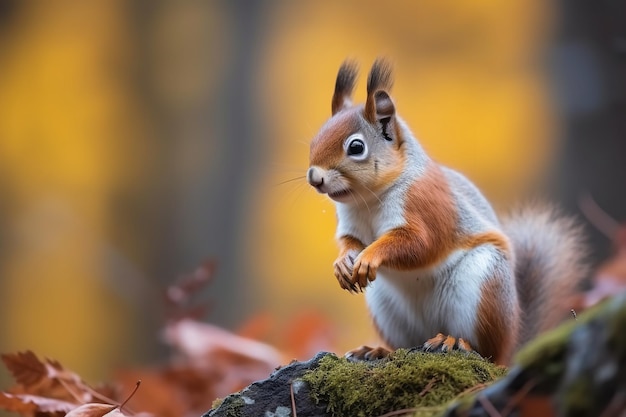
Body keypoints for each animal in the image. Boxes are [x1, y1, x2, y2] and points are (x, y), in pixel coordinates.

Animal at [304, 58, 588, 364]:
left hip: (482, 284)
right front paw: (342, 263)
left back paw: (454, 342)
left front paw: (369, 256)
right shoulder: (349, 222)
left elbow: (419, 244)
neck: (368, 200)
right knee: (406, 343)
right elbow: (350, 241)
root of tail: (511, 346)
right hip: (386, 308)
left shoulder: (427, 206)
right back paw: (378, 350)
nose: (314, 177)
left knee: (485, 350)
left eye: (356, 147)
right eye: (315, 140)